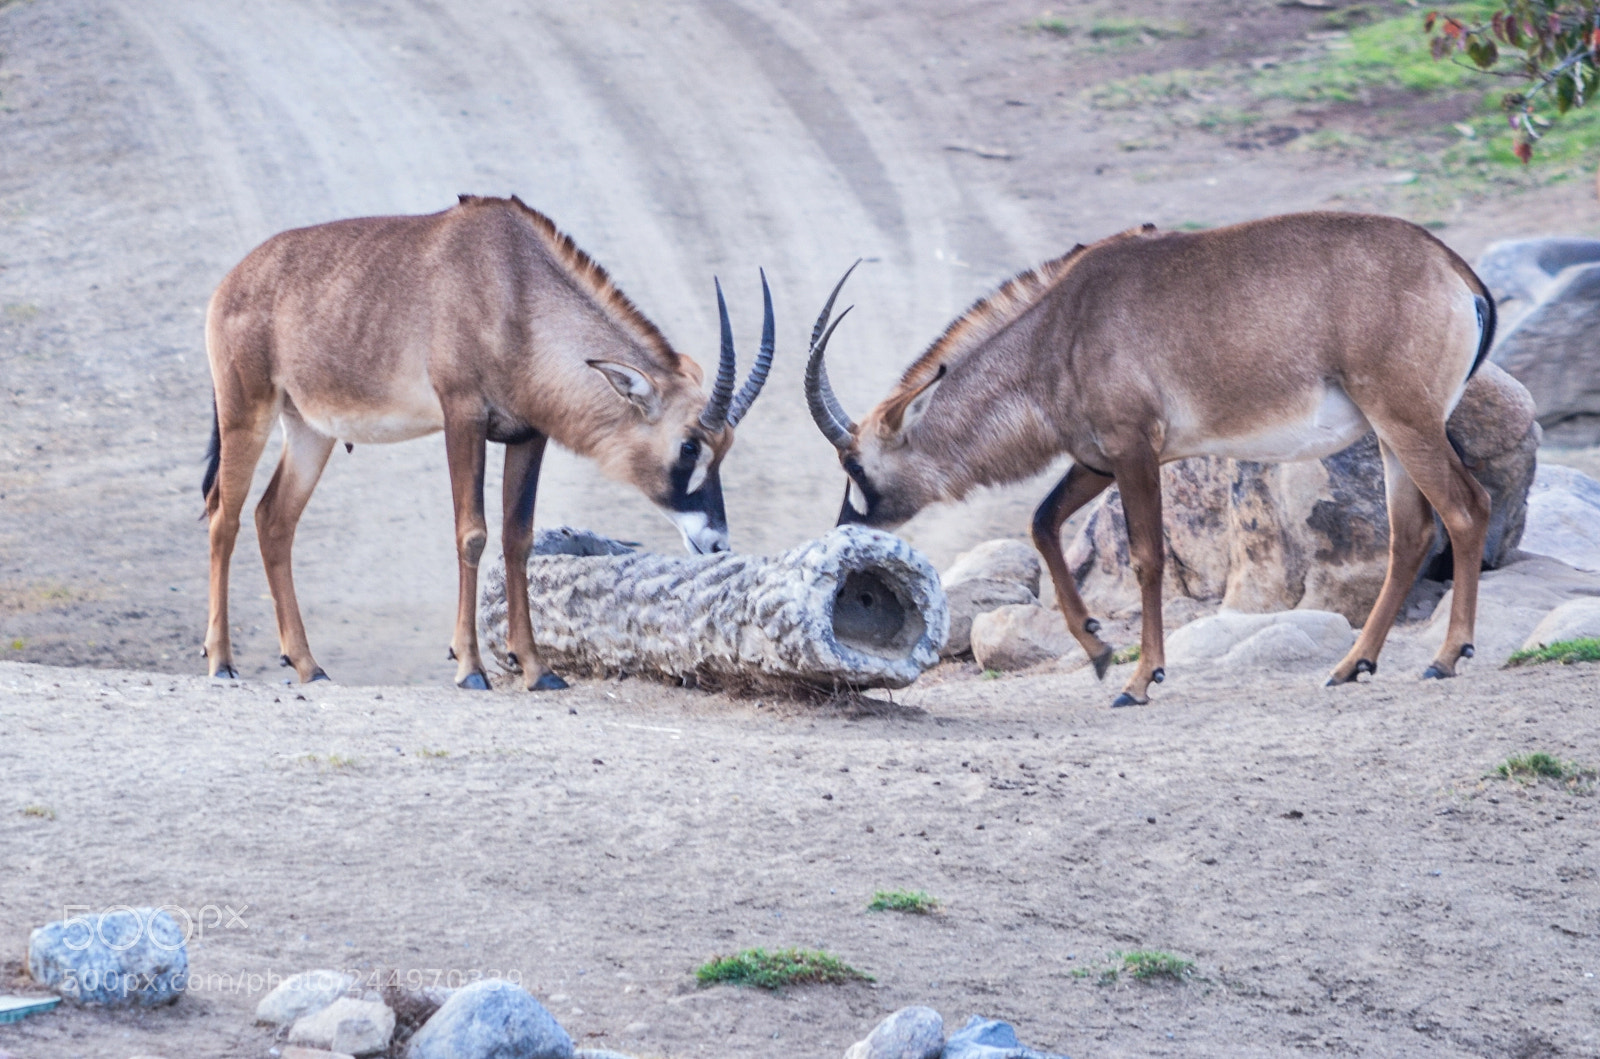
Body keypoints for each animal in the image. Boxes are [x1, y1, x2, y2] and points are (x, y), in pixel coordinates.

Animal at [202, 194, 774, 691]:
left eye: (723, 449)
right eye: (689, 446)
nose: (716, 543)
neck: (514, 285)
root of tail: (231, 283)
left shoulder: (528, 435)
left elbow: (518, 539)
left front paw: (538, 670)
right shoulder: (463, 417)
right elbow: (472, 534)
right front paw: (470, 668)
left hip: (310, 432)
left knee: (273, 519)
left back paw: (308, 665)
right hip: (246, 413)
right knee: (224, 517)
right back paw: (222, 663)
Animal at [804, 212, 1495, 706]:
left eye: (855, 466)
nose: (845, 532)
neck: (1062, 325)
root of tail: (1450, 267)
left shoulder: (1135, 449)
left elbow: (1145, 559)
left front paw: (1140, 681)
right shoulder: (1098, 459)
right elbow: (1041, 523)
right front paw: (1098, 651)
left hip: (1406, 422)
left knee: (1466, 508)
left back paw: (1445, 657)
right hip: (1390, 434)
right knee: (1411, 533)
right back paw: (1352, 666)